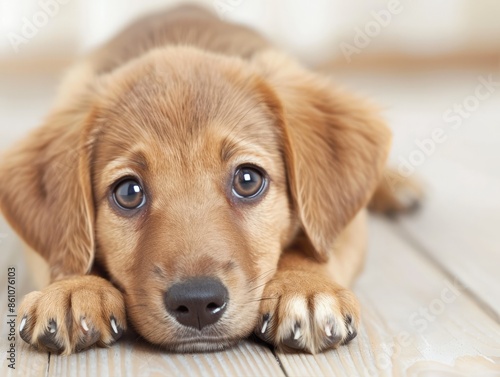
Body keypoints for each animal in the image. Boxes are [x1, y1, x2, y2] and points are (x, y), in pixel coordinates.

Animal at [0, 5, 418, 352]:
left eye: (248, 180)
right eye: (129, 192)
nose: (198, 302)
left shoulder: (347, 223)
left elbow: (313, 245)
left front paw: (305, 286)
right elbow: (66, 254)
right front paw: (72, 288)